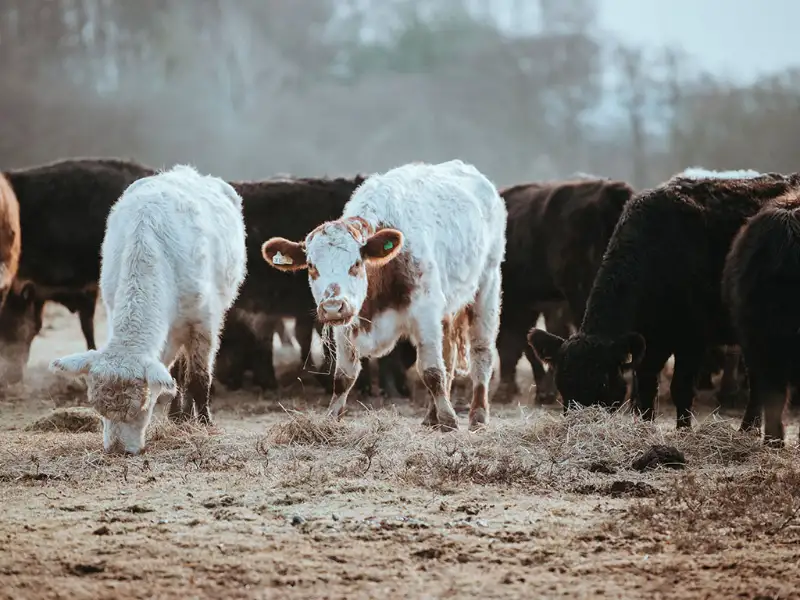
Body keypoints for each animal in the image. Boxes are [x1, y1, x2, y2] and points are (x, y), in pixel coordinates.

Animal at [48, 164, 247, 454]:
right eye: (98, 409)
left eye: (140, 408)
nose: (118, 449)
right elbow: (174, 377)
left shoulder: (204, 323)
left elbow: (199, 377)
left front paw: (205, 424)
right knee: (176, 373)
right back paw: (178, 416)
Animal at [260, 159, 506, 432]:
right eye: (312, 266)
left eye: (356, 263)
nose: (333, 306)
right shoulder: (347, 323)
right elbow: (344, 376)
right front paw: (332, 417)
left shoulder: (426, 314)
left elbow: (431, 371)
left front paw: (450, 420)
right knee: (449, 355)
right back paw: (432, 416)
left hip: (487, 286)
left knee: (481, 351)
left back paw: (478, 415)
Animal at [528, 171, 796, 428]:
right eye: (563, 385)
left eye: (602, 384)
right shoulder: (651, 343)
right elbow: (646, 388)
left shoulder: (692, 339)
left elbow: (681, 389)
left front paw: (683, 430)